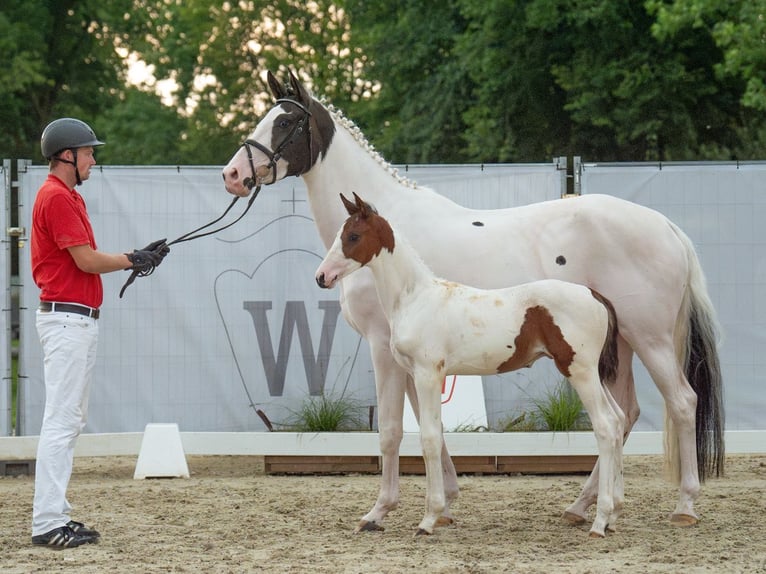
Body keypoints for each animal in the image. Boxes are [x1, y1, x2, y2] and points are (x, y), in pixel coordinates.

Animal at [222, 70, 728, 532]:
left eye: (286, 122)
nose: (233, 175)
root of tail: (667, 227)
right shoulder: (414, 359)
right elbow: (427, 428)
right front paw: (443, 502)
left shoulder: (382, 347)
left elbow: (392, 431)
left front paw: (381, 511)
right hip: (616, 348)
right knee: (624, 416)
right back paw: (586, 506)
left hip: (650, 339)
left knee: (681, 402)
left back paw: (683, 505)